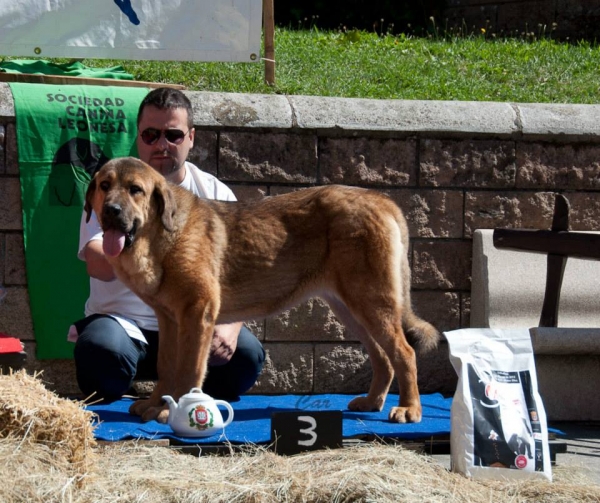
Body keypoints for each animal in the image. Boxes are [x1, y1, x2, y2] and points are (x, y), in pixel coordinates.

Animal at [84, 158, 438, 426]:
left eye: (135, 190)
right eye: (105, 186)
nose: (112, 210)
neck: (161, 236)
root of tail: (382, 200)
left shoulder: (197, 314)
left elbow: (189, 368)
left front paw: (176, 408)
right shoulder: (170, 320)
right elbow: (166, 365)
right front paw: (157, 404)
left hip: (372, 303)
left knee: (404, 353)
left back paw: (409, 409)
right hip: (351, 309)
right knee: (383, 358)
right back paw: (372, 402)